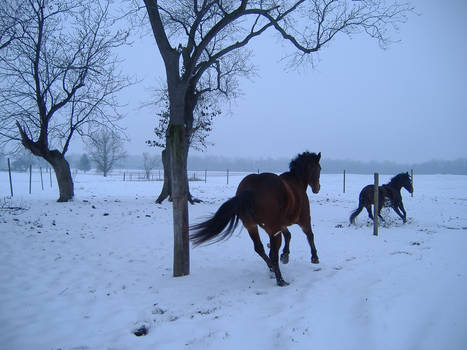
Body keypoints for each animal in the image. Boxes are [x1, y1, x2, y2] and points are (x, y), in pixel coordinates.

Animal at [190, 152, 322, 286]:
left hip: (251, 226)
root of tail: (251, 189)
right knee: (273, 253)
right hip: (272, 230)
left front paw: (285, 256)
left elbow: (288, 235)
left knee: (259, 248)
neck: (296, 183)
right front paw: (314, 257)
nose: (317, 188)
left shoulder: (281, 225)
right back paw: (280, 280)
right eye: (319, 168)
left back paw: (271, 268)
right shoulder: (303, 220)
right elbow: (309, 235)